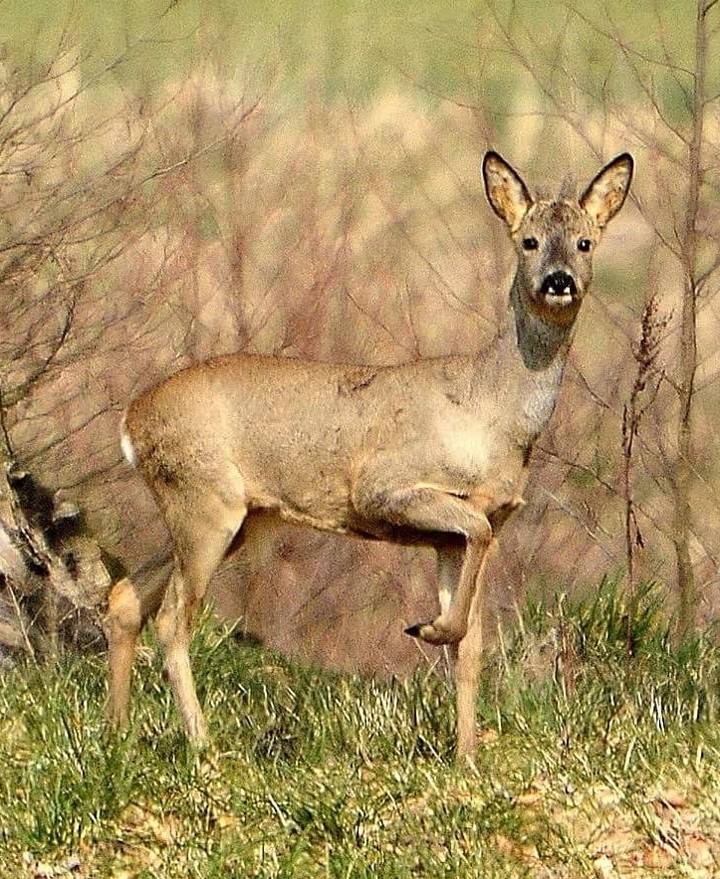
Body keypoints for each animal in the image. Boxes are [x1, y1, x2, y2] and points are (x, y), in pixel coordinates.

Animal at [105, 149, 633, 759]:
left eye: (584, 242)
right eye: (529, 241)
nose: (558, 281)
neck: (489, 413)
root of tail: (131, 418)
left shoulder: (463, 534)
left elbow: (471, 646)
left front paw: (466, 757)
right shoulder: (385, 487)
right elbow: (468, 561)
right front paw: (428, 629)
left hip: (230, 515)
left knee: (126, 597)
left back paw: (117, 734)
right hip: (204, 501)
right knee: (172, 618)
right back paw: (203, 746)